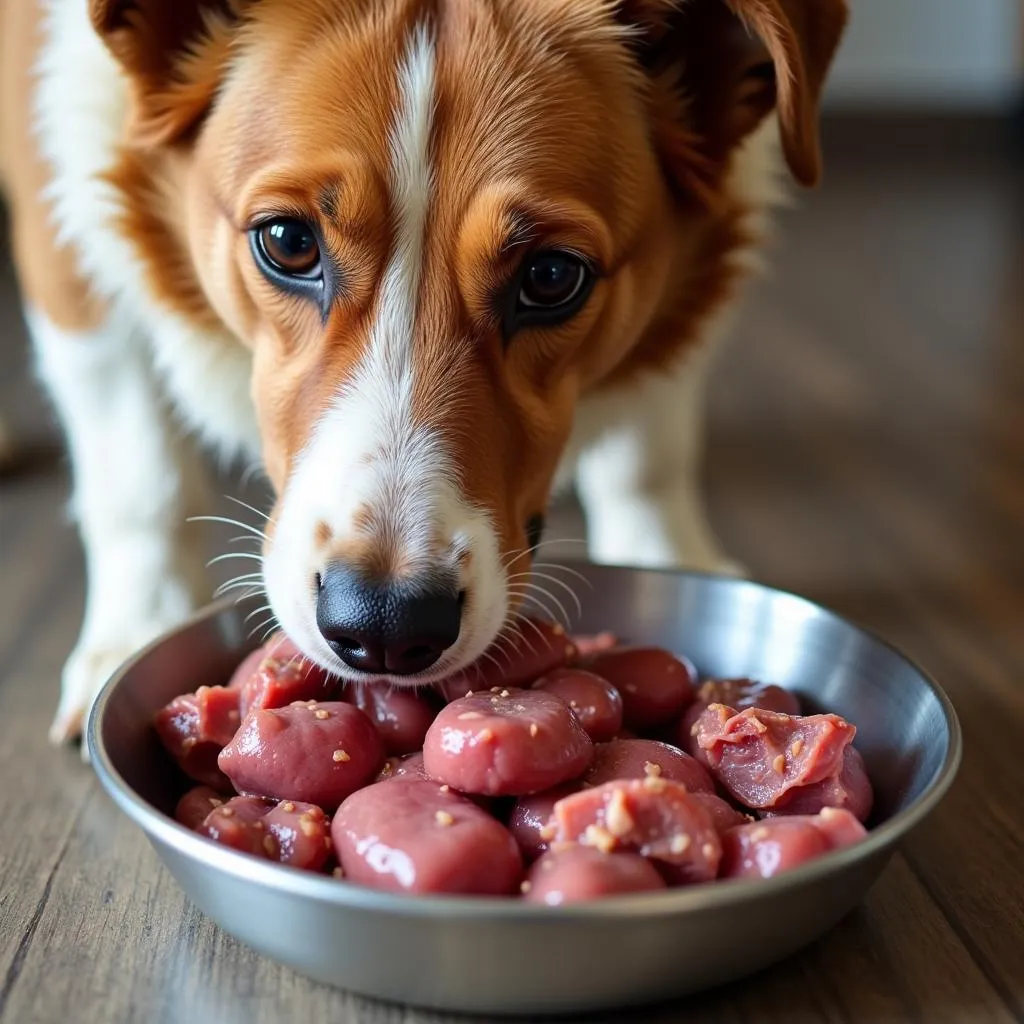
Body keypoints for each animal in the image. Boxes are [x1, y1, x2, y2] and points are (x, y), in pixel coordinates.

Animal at [0, 0, 847, 749]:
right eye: (287, 242)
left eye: (551, 276)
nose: (383, 628)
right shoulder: (69, 265)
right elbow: (141, 476)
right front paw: (136, 628)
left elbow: (649, 453)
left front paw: (669, 558)